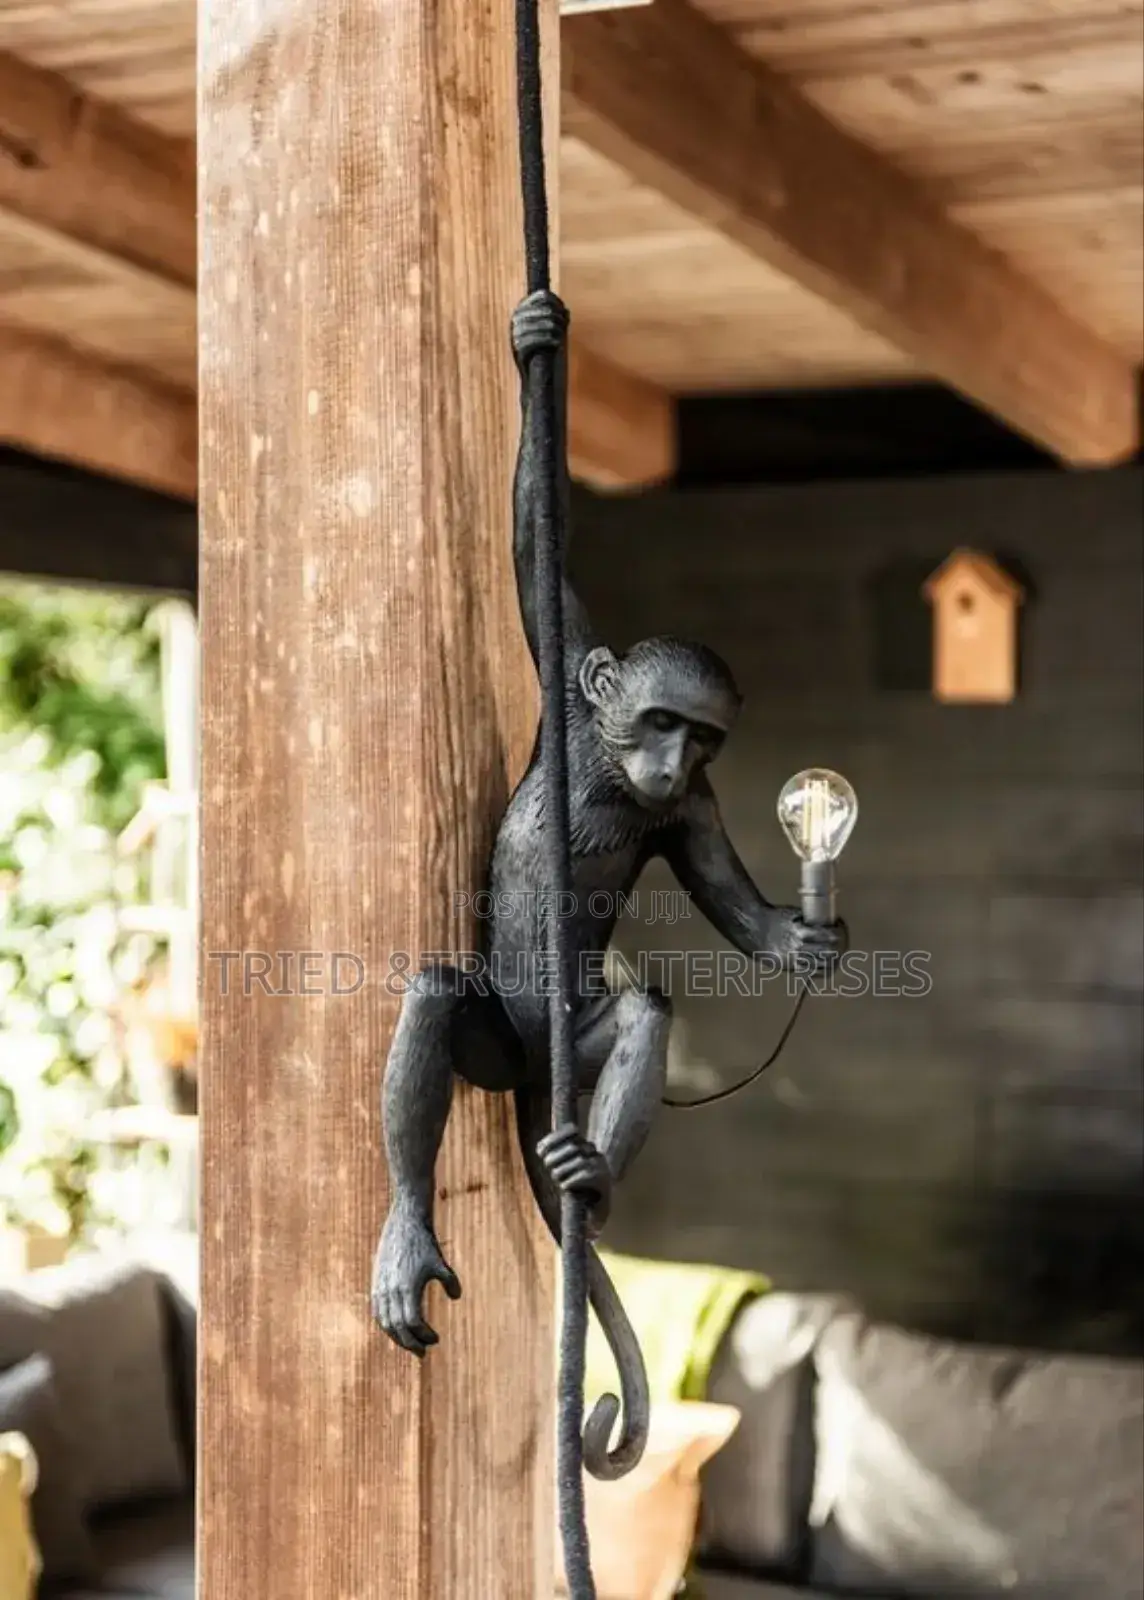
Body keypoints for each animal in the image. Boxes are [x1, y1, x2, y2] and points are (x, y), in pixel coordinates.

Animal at [370, 288, 847, 1475]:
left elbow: (727, 903)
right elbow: (532, 542)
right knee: (438, 995)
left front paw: (803, 940)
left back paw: (590, 1175)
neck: (617, 767)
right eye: (660, 717)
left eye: (704, 736)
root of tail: (534, 1086)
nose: (672, 758)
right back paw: (408, 1232)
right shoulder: (565, 666)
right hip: (500, 1049)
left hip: (562, 1054)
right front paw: (537, 344)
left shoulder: (697, 809)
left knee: (638, 1010)